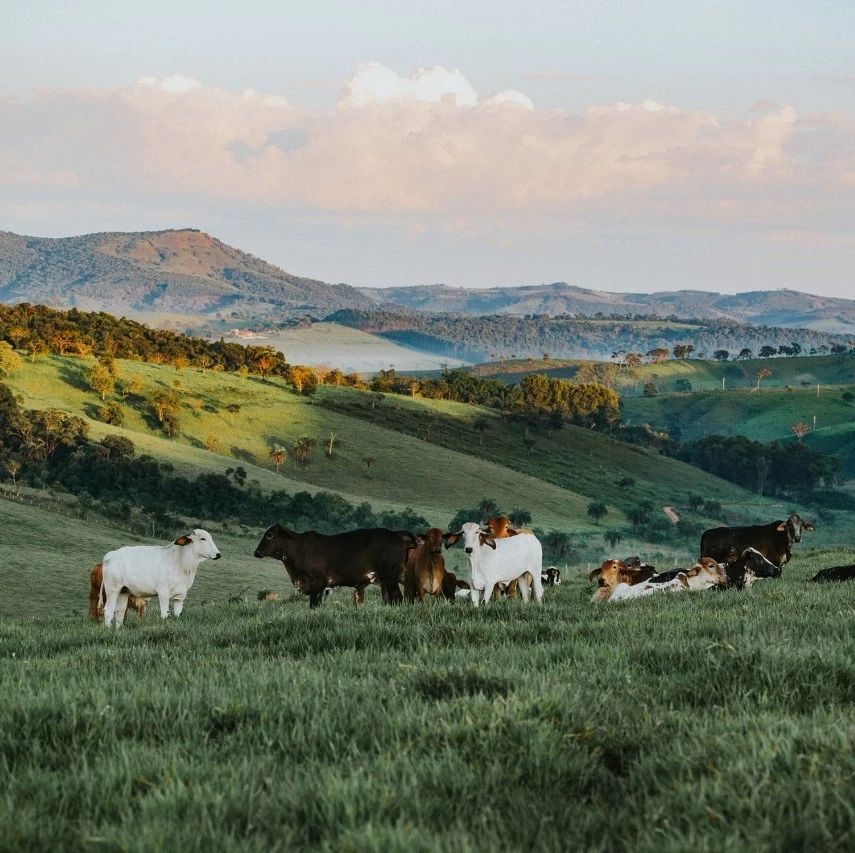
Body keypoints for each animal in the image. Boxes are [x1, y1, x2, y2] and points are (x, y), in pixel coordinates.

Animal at [252, 524, 416, 604]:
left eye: (269, 535)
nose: (256, 552)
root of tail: (396, 534)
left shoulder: (318, 583)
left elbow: (314, 604)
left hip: (390, 578)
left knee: (398, 598)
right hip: (387, 581)